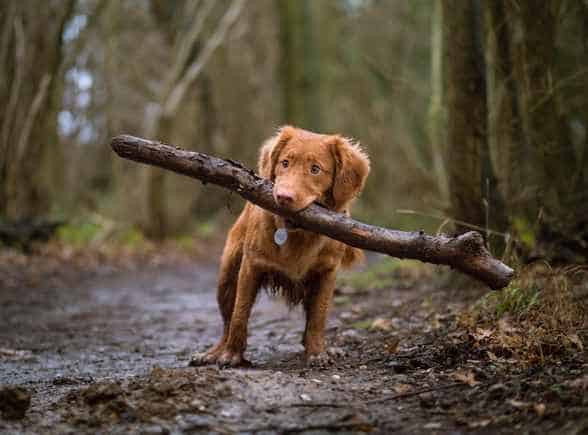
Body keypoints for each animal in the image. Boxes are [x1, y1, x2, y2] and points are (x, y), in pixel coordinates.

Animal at [191, 126, 370, 368]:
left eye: (315, 169)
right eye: (285, 163)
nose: (283, 197)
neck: (297, 234)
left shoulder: (327, 273)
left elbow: (318, 317)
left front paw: (317, 353)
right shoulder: (251, 266)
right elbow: (239, 314)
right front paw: (232, 355)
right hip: (227, 276)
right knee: (227, 320)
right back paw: (214, 352)